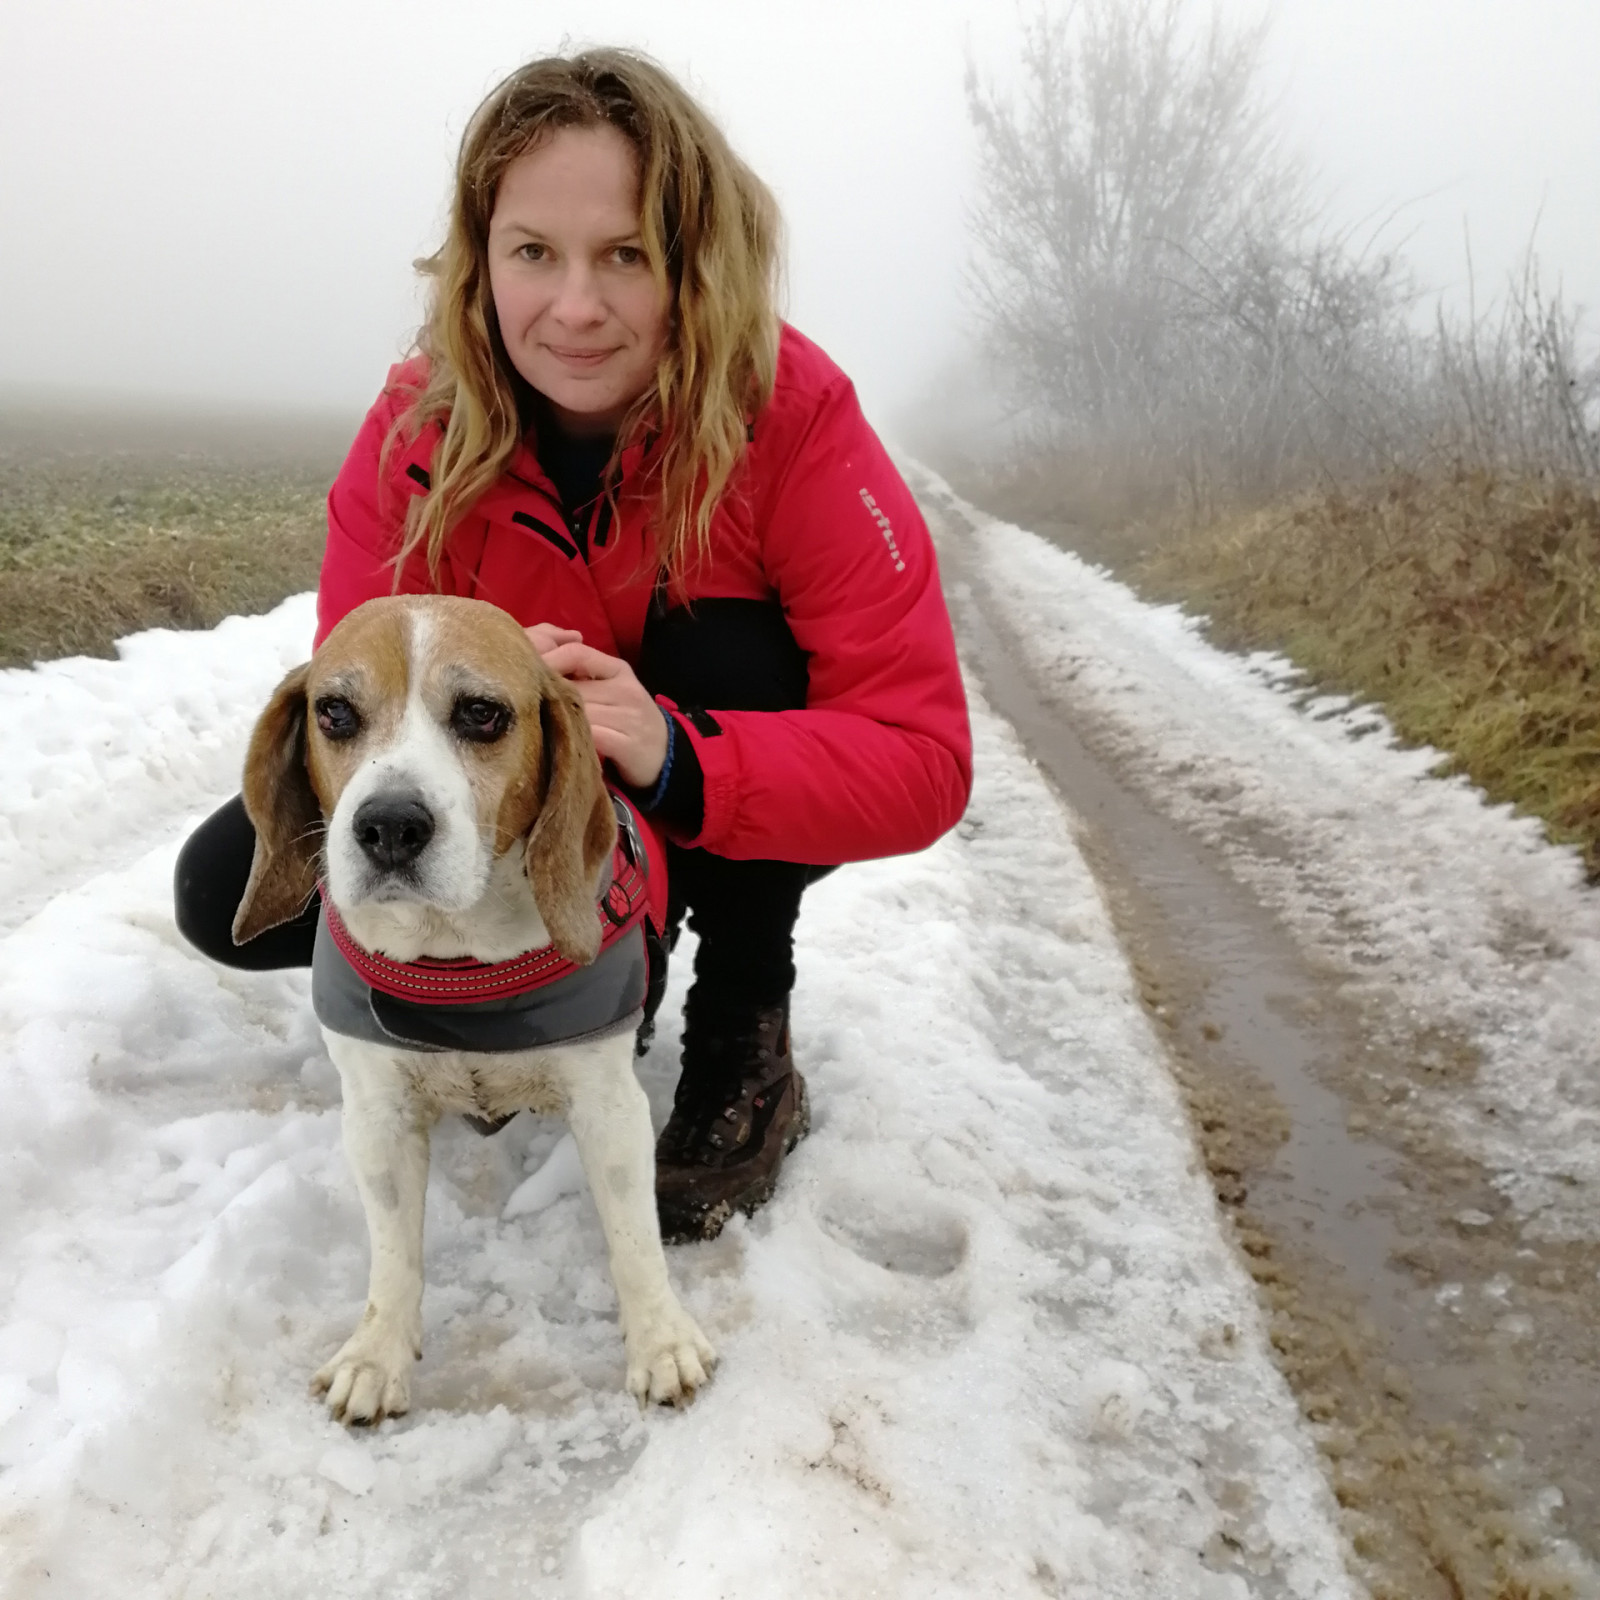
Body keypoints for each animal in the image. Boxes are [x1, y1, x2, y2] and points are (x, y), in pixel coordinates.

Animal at [232, 593, 714, 1424]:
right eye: (335, 712)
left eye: (482, 714)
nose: (390, 826)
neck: (456, 957)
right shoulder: (378, 1112)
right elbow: (394, 1254)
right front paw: (377, 1354)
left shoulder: (606, 1105)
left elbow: (633, 1236)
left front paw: (661, 1340)